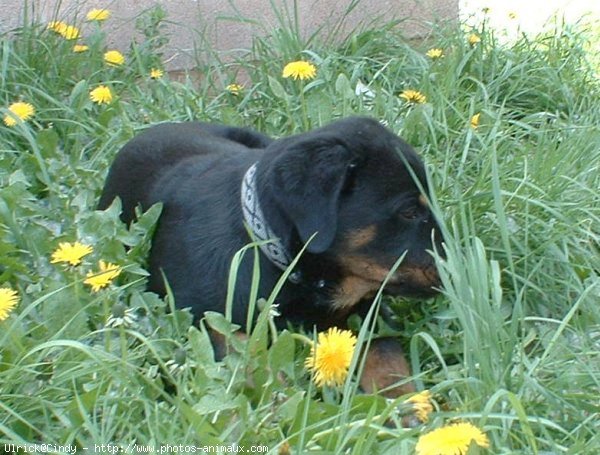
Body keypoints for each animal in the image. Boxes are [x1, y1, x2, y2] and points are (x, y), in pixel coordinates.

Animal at [99, 117, 440, 400]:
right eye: (409, 211)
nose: (451, 267)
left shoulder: (367, 306)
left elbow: (386, 355)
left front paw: (408, 405)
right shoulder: (196, 315)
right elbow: (246, 356)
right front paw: (278, 402)